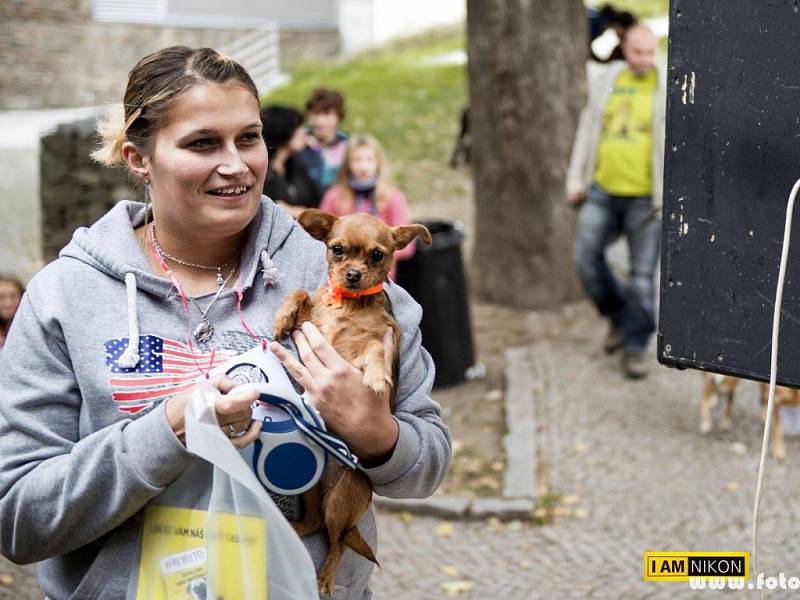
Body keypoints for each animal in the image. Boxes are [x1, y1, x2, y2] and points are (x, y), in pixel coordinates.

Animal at [272, 209, 432, 592]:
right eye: (337, 249)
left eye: (377, 255)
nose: (353, 274)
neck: (346, 304)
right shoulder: (311, 320)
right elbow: (300, 293)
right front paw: (282, 316)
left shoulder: (379, 339)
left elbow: (374, 349)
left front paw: (376, 377)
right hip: (308, 487)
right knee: (315, 525)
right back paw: (292, 529)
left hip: (341, 501)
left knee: (339, 541)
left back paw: (326, 576)